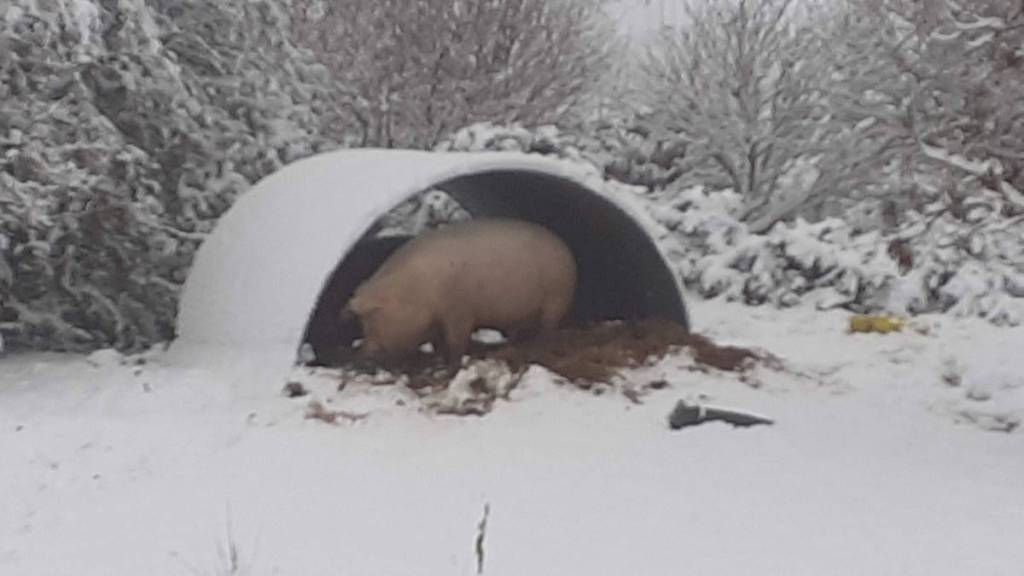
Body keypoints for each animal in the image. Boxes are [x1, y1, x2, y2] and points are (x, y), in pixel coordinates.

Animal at [345, 218, 577, 367]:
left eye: (372, 317)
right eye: (362, 322)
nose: (362, 355)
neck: (415, 291)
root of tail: (566, 249)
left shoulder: (458, 312)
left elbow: (456, 341)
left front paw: (452, 367)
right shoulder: (437, 320)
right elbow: (438, 343)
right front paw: (438, 362)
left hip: (556, 298)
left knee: (548, 328)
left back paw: (536, 350)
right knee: (519, 330)